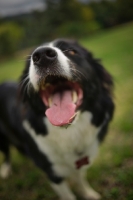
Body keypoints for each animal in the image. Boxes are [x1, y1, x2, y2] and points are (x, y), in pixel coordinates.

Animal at [0, 39, 114, 200]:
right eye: (30, 61)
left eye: (72, 51)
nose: (42, 55)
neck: (69, 133)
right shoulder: (53, 174)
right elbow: (67, 194)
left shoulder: (79, 163)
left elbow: (80, 179)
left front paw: (88, 194)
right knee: (6, 152)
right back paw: (5, 169)